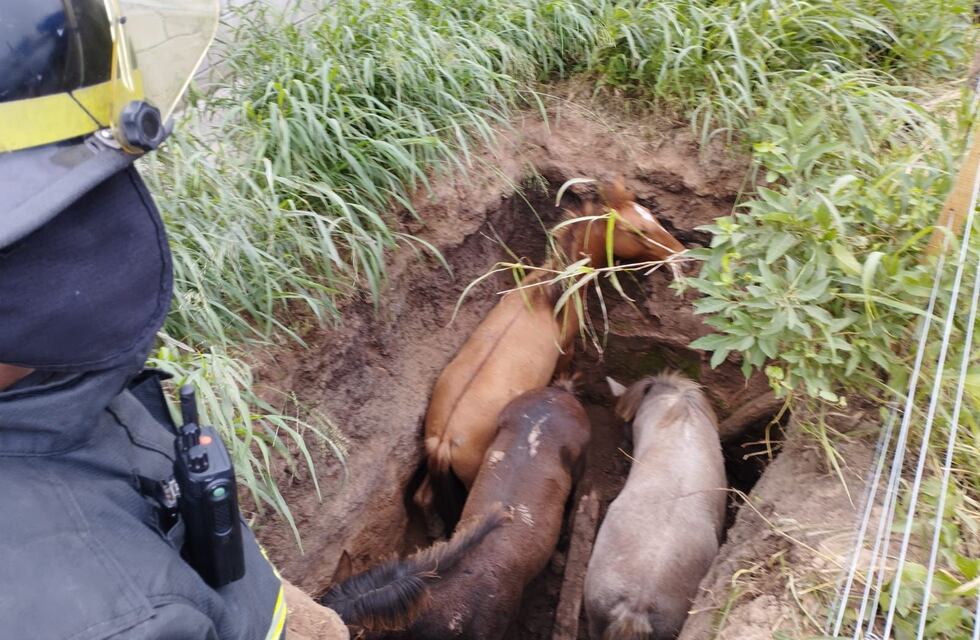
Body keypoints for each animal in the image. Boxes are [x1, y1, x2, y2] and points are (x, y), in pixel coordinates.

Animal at [415, 178, 684, 529]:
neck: (549, 294)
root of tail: (445, 438)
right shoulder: (566, 348)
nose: (680, 252)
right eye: (638, 230)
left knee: (422, 498)